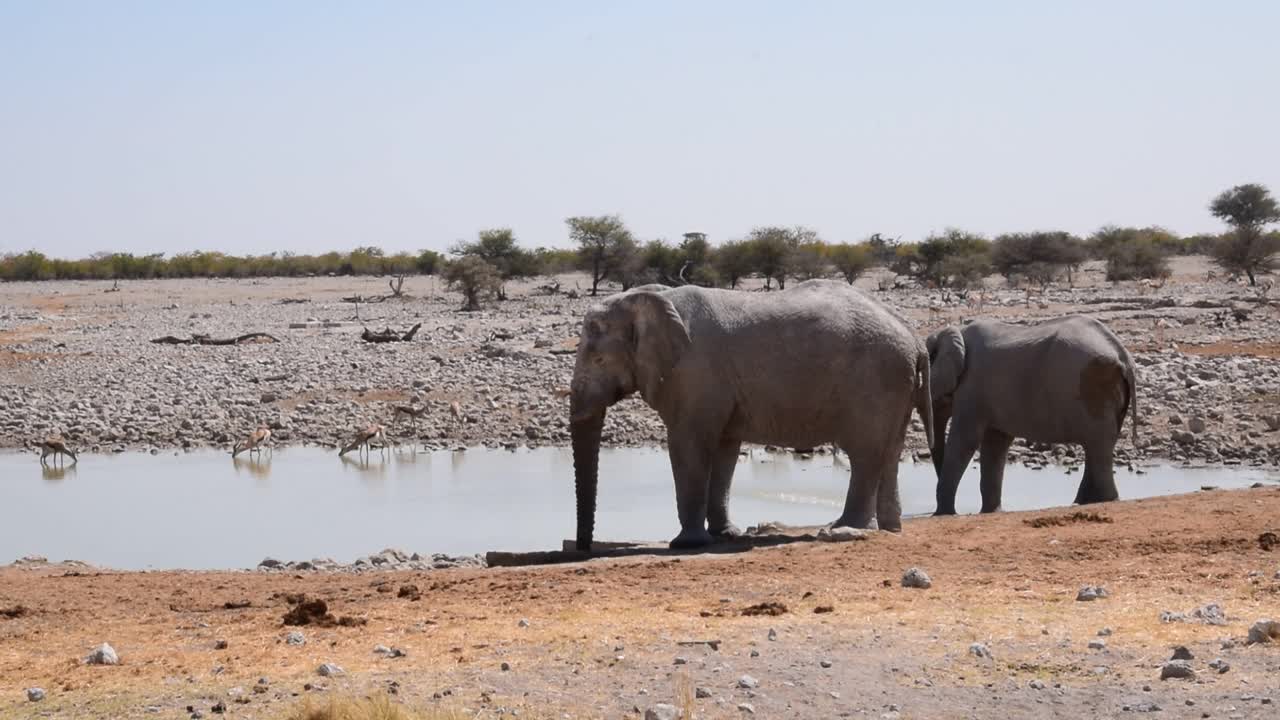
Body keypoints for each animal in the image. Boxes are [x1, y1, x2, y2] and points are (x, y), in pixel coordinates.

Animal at [570, 280, 931, 548]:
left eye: (598, 360)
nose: (582, 547)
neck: (648, 298)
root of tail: (915, 339)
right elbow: (725, 449)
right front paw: (724, 535)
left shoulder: (694, 373)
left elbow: (689, 445)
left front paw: (686, 544)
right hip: (896, 384)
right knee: (890, 452)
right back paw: (889, 528)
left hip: (876, 381)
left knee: (865, 454)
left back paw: (843, 529)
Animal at [926, 312, 1136, 509]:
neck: (954, 332)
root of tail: (1122, 354)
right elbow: (995, 443)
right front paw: (991, 511)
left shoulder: (972, 385)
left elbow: (966, 440)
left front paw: (944, 513)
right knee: (1099, 444)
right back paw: (1084, 502)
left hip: (1093, 383)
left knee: (1097, 443)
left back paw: (1105, 500)